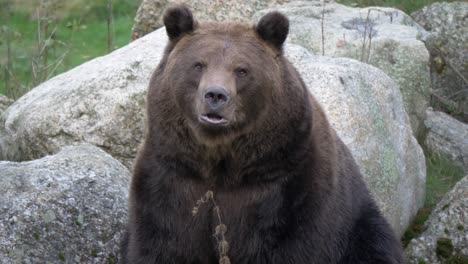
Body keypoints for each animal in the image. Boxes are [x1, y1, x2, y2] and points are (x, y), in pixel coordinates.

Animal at [121, 4, 406, 264]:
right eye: (198, 65)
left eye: (242, 70)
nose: (216, 95)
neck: (221, 163)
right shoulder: (172, 177)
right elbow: (162, 244)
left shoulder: (287, 186)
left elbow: (291, 246)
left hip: (359, 225)